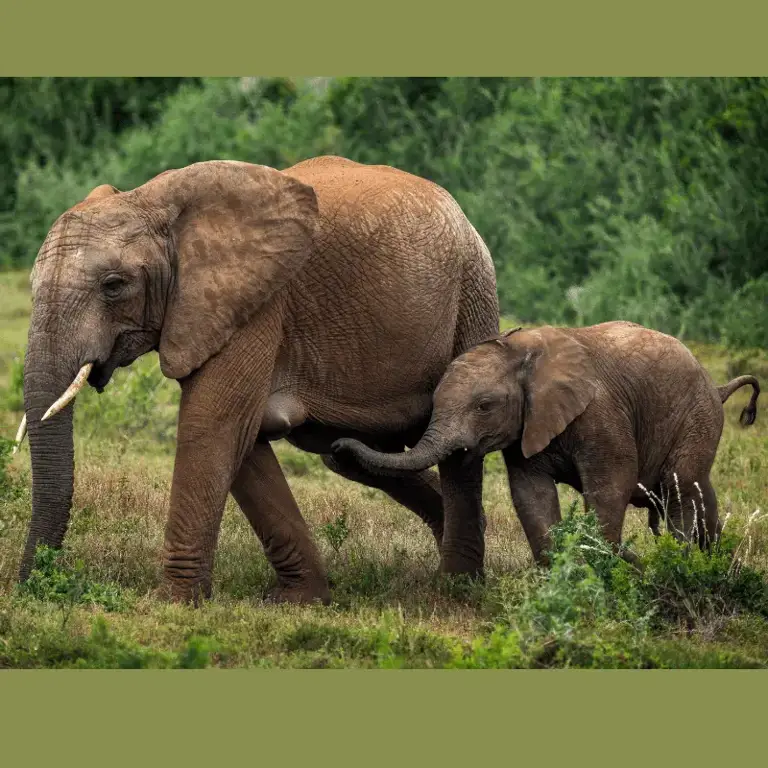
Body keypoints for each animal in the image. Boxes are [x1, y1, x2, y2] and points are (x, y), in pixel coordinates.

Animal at [18, 156, 500, 608]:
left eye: (113, 285)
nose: (35, 582)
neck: (150, 199)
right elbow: (242, 437)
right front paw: (301, 600)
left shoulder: (257, 302)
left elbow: (213, 422)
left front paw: (172, 603)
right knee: (350, 455)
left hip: (473, 290)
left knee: (457, 451)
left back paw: (456, 588)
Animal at [332, 318, 760, 564]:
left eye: (485, 406)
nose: (338, 448)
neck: (520, 353)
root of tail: (717, 387)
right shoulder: (526, 427)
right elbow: (530, 493)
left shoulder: (601, 412)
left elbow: (610, 487)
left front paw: (606, 569)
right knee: (696, 491)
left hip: (696, 416)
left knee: (680, 489)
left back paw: (683, 562)